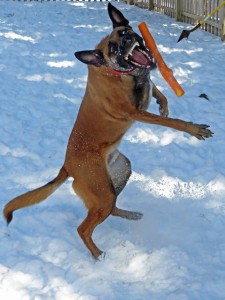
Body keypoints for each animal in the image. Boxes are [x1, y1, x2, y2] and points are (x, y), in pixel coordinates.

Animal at [3, 3, 213, 258]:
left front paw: (163, 102)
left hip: (118, 174)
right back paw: (97, 254)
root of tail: (66, 167)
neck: (116, 72)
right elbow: (173, 122)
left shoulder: (145, 84)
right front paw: (194, 129)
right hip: (102, 190)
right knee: (83, 227)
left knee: (110, 208)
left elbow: (155, 88)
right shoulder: (136, 112)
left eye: (124, 32)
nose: (128, 40)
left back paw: (131, 215)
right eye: (113, 48)